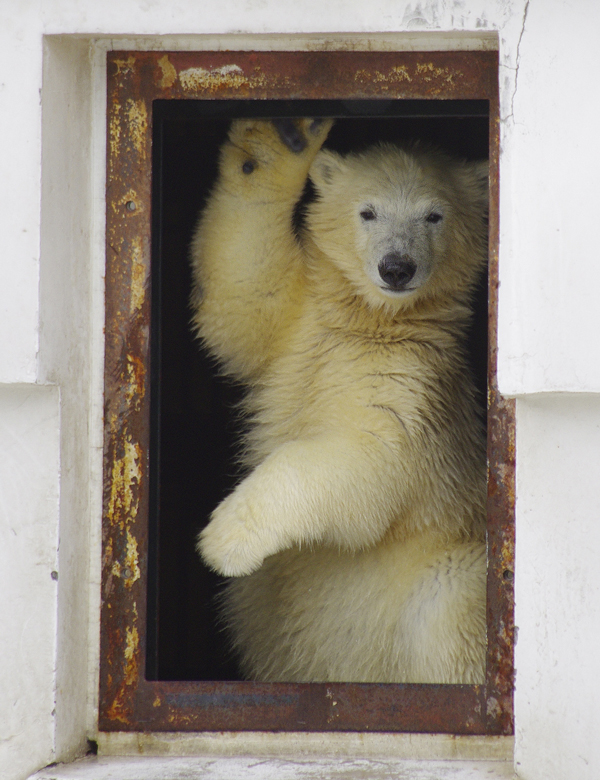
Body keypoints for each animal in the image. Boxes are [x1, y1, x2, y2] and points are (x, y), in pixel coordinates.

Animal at [190, 117, 490, 684]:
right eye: (367, 211)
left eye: (434, 214)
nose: (397, 267)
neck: (370, 322)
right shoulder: (300, 327)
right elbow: (246, 296)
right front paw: (284, 141)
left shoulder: (415, 385)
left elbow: (369, 458)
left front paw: (225, 539)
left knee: (450, 605)